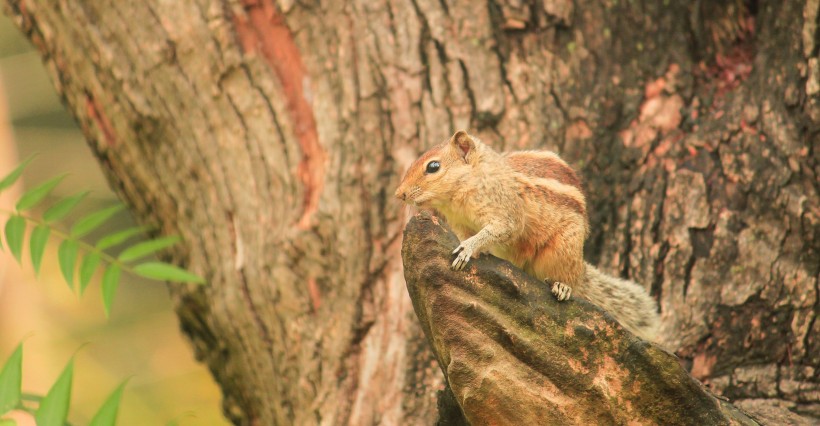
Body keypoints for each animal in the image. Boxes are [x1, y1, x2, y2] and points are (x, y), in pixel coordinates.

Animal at [396, 131, 660, 342]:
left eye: (433, 167)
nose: (399, 194)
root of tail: (580, 266)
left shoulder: (506, 211)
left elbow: (499, 230)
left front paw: (468, 248)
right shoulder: (460, 224)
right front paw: (474, 248)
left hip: (563, 250)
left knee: (569, 279)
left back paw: (563, 286)